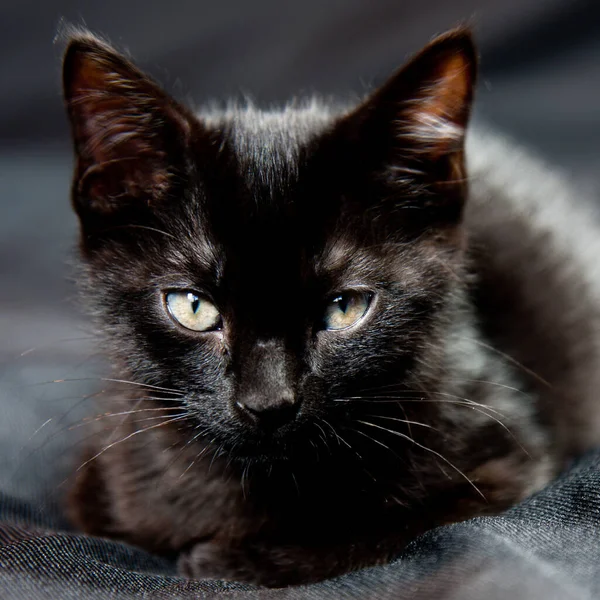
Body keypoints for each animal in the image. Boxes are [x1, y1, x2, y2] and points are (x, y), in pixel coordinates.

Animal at [63, 25, 600, 584]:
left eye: (344, 308)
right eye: (192, 307)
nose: (268, 402)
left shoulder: (507, 466)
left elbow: (388, 528)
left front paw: (228, 560)